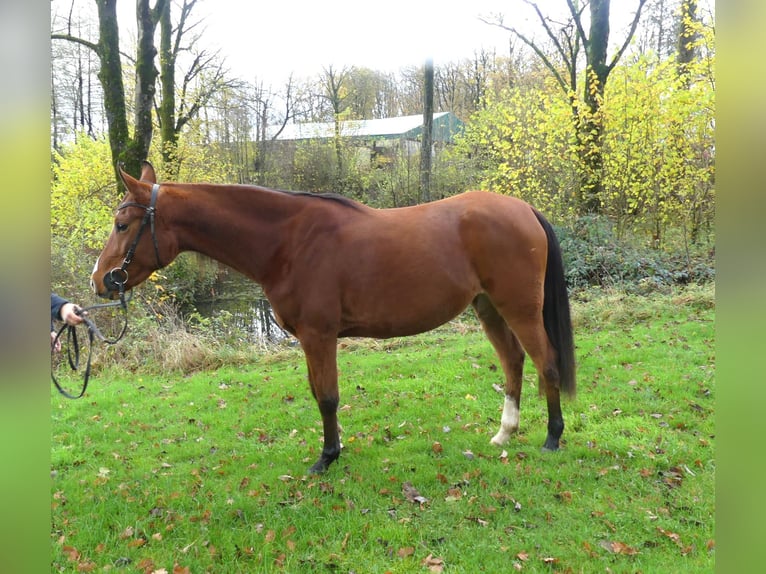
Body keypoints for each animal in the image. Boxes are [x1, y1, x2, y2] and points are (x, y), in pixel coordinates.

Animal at [91, 161, 576, 472]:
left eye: (121, 225)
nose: (100, 280)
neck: (289, 242)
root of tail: (524, 209)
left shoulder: (318, 335)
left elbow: (326, 396)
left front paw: (326, 458)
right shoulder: (310, 340)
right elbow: (317, 393)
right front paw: (335, 447)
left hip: (519, 308)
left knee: (547, 363)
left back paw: (553, 438)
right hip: (488, 307)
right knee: (513, 362)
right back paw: (505, 434)